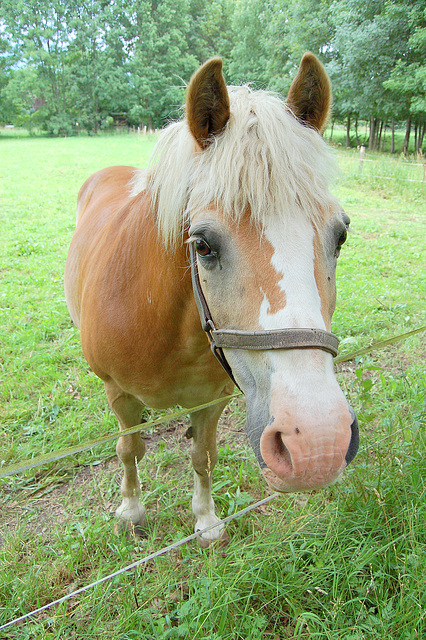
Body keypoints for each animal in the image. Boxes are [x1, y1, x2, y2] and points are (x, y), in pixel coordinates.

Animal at [65, 53, 360, 544]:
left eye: (340, 235)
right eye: (202, 244)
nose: (318, 442)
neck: (163, 326)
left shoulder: (212, 401)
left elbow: (203, 456)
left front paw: (205, 520)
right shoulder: (119, 394)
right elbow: (129, 449)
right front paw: (131, 511)